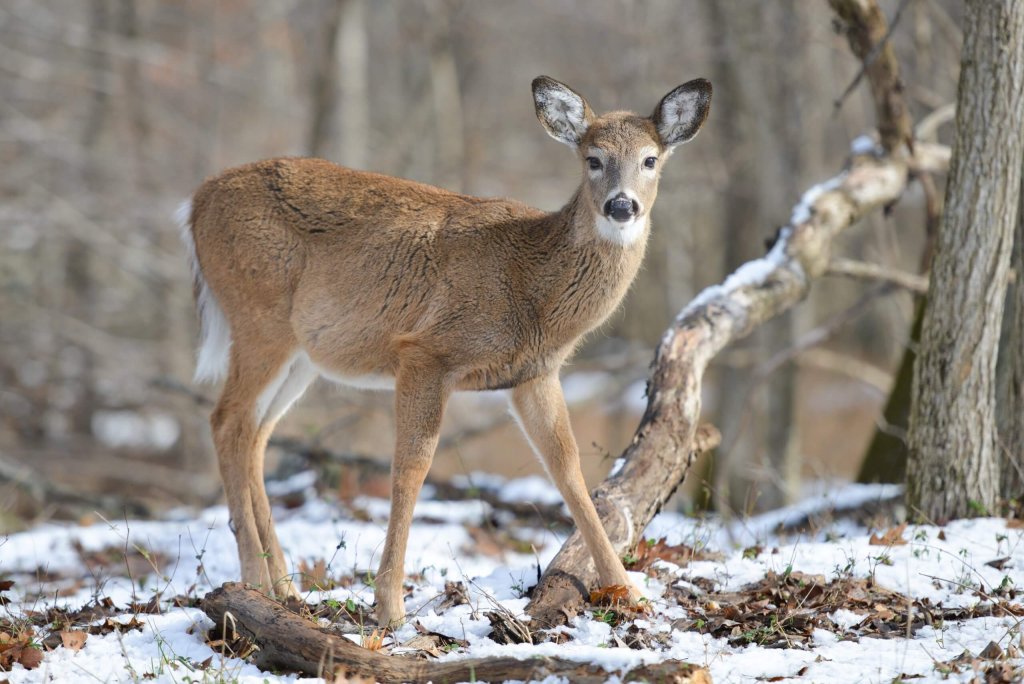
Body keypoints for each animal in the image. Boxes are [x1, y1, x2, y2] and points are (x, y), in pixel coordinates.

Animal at [178, 74, 712, 626]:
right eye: (593, 159)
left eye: (650, 159)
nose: (621, 207)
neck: (532, 286)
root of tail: (195, 202)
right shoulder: (425, 353)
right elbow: (411, 469)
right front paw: (390, 607)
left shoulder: (533, 374)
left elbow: (566, 469)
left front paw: (629, 591)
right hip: (258, 318)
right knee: (227, 421)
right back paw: (253, 582)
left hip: (302, 354)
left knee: (257, 434)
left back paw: (283, 588)